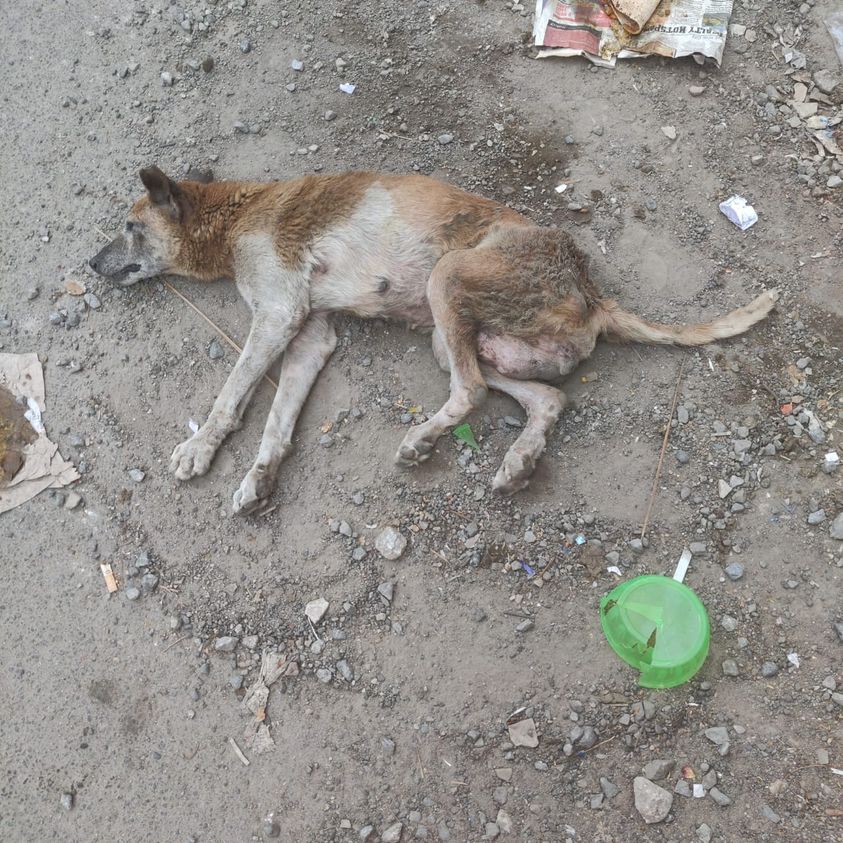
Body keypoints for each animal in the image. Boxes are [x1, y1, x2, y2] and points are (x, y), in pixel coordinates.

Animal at [89, 167, 778, 513]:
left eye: (129, 227)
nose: (91, 265)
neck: (232, 216)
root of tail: (590, 290)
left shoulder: (278, 315)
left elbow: (231, 395)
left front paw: (200, 447)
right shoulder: (307, 336)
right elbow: (276, 422)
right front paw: (260, 480)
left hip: (448, 281)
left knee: (470, 394)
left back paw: (422, 441)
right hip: (460, 338)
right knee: (544, 398)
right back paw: (519, 460)